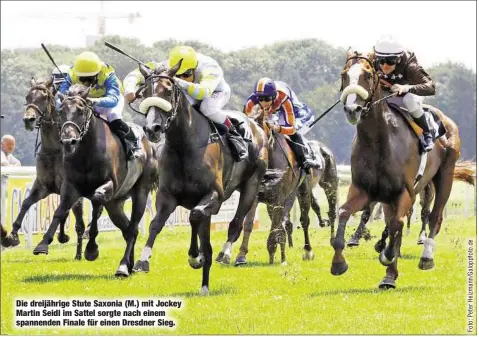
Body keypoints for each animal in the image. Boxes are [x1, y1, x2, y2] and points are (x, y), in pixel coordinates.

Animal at [3, 78, 85, 258]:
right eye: (27, 96)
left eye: (45, 97)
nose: (29, 119)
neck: (53, 149)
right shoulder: (42, 185)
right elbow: (26, 203)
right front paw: (12, 236)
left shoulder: (66, 186)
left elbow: (60, 212)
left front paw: (44, 244)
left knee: (80, 225)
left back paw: (77, 253)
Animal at [33, 84, 158, 276]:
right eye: (61, 111)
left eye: (81, 110)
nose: (69, 141)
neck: (86, 152)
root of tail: (149, 146)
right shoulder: (70, 186)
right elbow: (60, 210)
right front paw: (43, 243)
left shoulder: (109, 184)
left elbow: (97, 202)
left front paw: (91, 249)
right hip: (115, 203)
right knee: (129, 229)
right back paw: (129, 265)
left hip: (141, 192)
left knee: (132, 228)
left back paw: (123, 266)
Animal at [132, 63, 270, 294]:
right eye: (144, 93)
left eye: (167, 91)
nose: (152, 129)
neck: (183, 146)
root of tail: (257, 126)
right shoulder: (167, 196)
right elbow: (156, 224)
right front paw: (143, 260)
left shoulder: (214, 195)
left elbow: (195, 216)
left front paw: (196, 256)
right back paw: (204, 280)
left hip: (251, 185)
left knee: (236, 223)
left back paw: (224, 254)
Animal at [332, 51, 474, 288]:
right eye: (344, 74)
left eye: (368, 75)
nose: (353, 109)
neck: (378, 141)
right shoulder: (364, 190)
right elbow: (344, 212)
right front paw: (339, 263)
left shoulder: (405, 191)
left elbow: (397, 224)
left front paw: (388, 256)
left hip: (444, 177)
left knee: (434, 216)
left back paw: (425, 257)